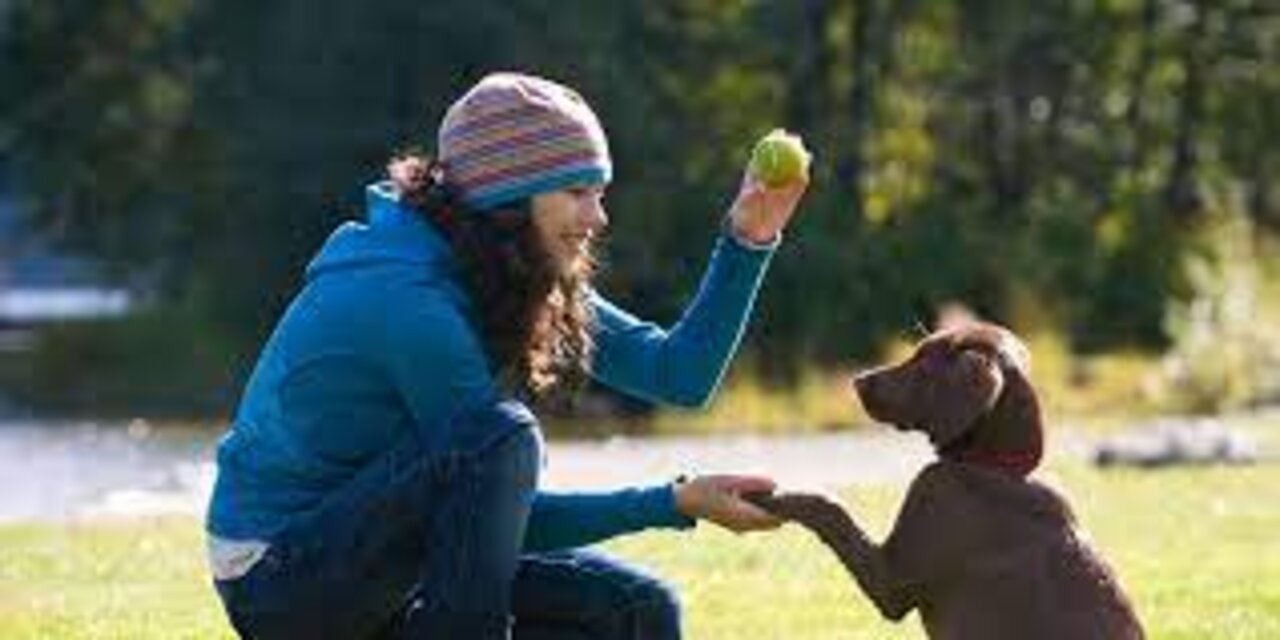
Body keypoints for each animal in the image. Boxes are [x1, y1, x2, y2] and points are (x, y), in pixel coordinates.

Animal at [747, 322, 1146, 640]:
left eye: (924, 360)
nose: (857, 380)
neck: (994, 467)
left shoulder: (892, 580)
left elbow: (829, 507)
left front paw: (772, 496)